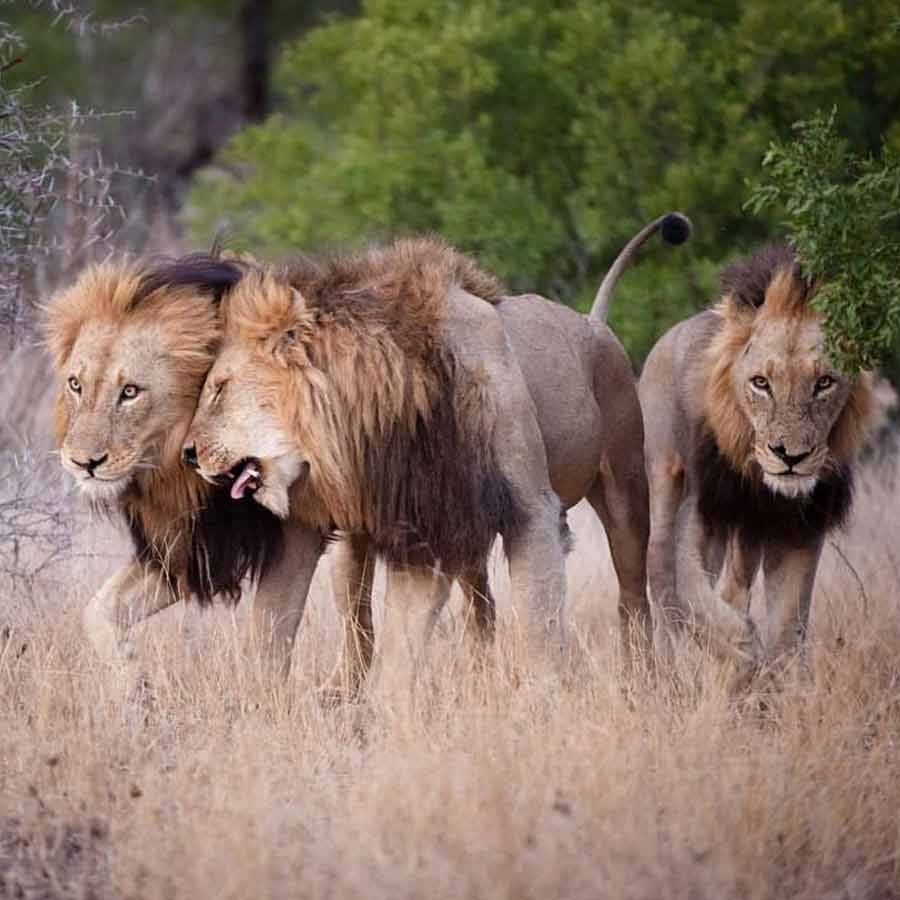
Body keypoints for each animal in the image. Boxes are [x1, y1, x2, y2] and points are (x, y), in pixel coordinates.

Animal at [43, 255, 319, 677]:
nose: (82, 463)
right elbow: (98, 610)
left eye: (130, 392)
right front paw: (133, 677)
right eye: (76, 385)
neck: (175, 471)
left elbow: (266, 643)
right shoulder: (187, 544)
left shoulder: (299, 534)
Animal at [183, 214, 691, 691]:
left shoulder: (529, 512)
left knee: (633, 593)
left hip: (624, 490)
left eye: (219, 389)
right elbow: (352, 634)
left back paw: (643, 675)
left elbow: (538, 624)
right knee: (457, 609)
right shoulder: (420, 523)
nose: (188, 453)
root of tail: (594, 322)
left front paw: (543, 699)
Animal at [639, 242, 873, 680]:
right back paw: (672, 672)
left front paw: (771, 676)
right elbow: (691, 591)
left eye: (824, 383)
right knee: (661, 576)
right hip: (662, 476)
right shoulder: (703, 508)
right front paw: (742, 654)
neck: (763, 484)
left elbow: (786, 623)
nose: (791, 456)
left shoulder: (800, 527)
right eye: (761, 383)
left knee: (732, 585)